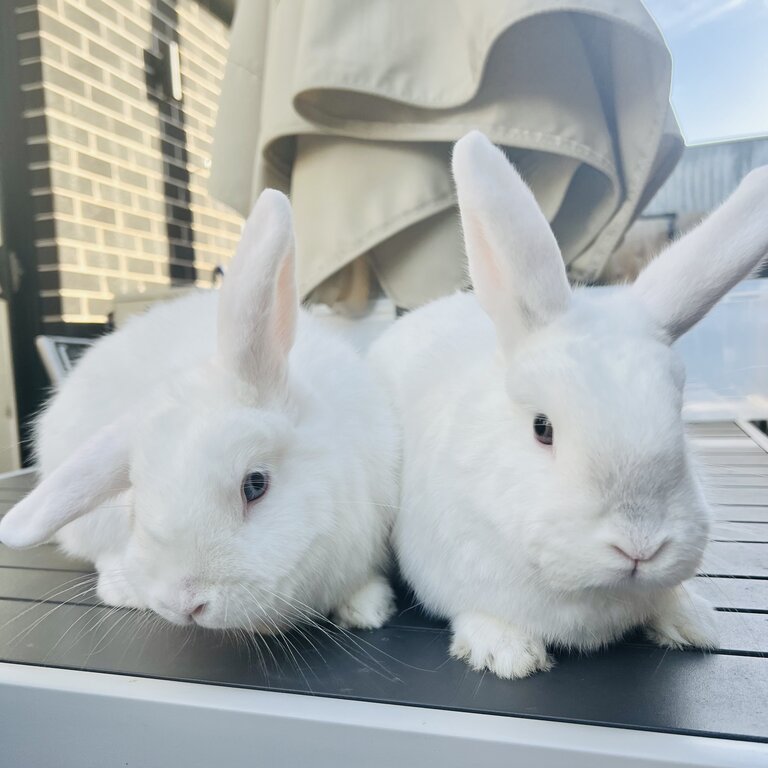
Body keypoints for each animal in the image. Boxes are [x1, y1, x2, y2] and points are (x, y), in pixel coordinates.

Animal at [368, 130, 768, 680]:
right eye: (543, 428)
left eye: (679, 417)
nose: (640, 547)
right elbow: (478, 613)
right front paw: (508, 654)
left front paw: (694, 622)